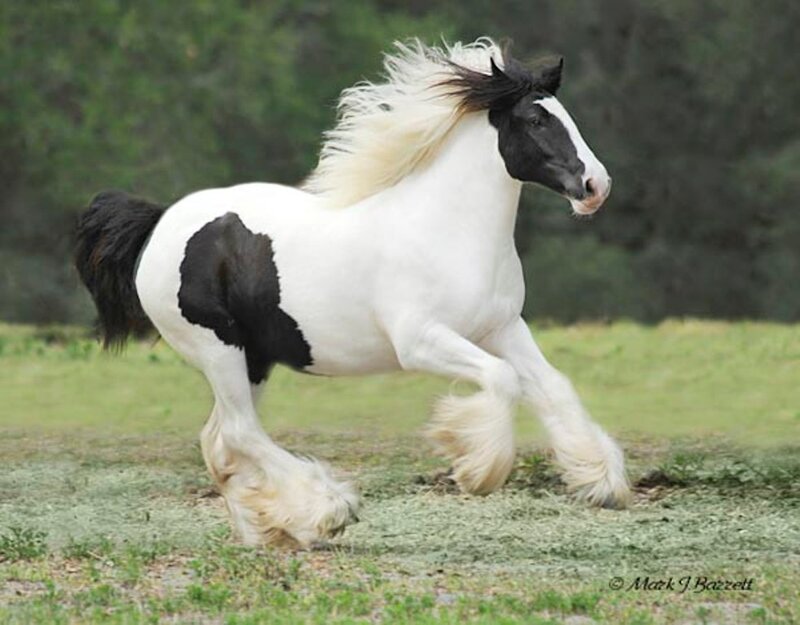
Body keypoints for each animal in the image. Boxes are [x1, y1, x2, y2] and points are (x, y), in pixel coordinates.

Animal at [75, 38, 630, 548]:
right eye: (536, 120)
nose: (595, 186)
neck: (447, 229)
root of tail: (159, 225)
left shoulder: (502, 328)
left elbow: (553, 385)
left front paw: (601, 481)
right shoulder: (421, 341)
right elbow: (502, 379)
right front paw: (478, 468)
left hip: (253, 358)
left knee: (220, 440)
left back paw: (270, 531)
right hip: (218, 348)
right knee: (238, 433)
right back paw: (328, 511)